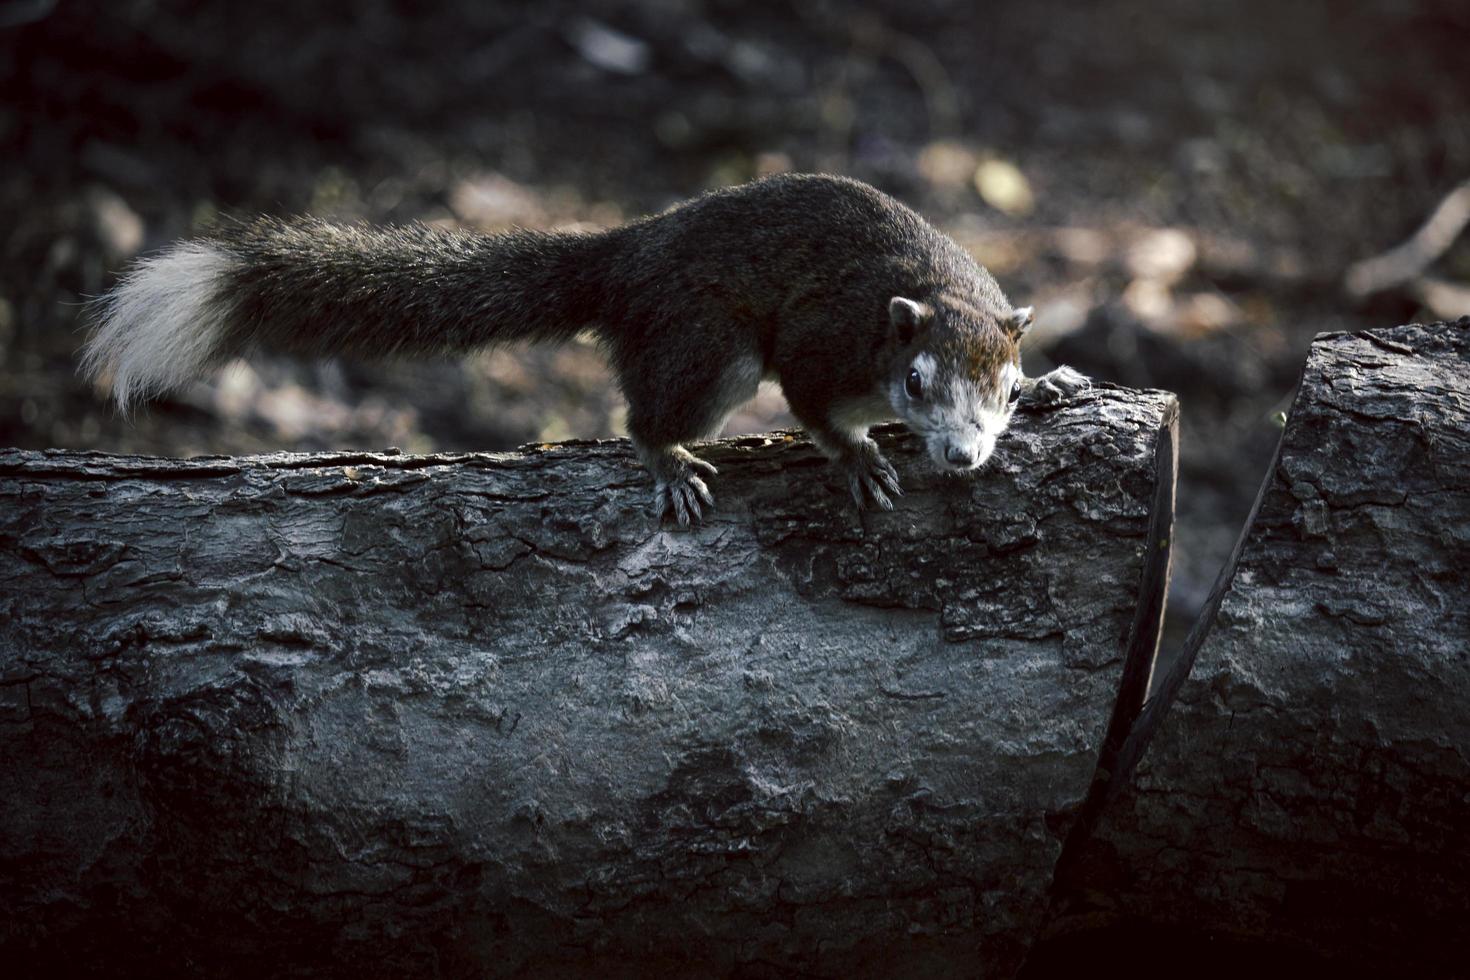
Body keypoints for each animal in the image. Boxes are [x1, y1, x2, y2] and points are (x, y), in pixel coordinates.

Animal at [83, 174, 1093, 528]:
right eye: (916, 382)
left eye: (1002, 393)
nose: (961, 456)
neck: (932, 293)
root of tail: (626, 258)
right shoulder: (826, 344)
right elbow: (813, 406)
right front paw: (857, 459)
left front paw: (1056, 380)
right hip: (708, 343)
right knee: (646, 413)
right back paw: (669, 461)